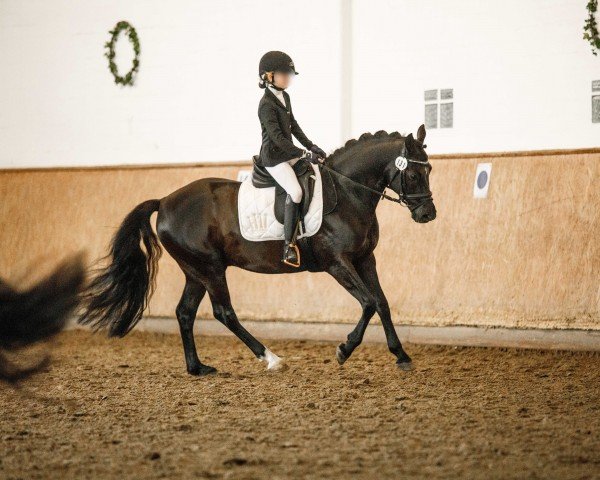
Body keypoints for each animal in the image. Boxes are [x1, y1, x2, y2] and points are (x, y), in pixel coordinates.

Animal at [78, 124, 436, 376]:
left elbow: (382, 303)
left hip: (195, 271)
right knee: (224, 312)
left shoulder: (365, 259)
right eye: (413, 173)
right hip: (210, 269)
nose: (427, 214)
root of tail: (164, 201)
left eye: (429, 170)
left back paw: (198, 368)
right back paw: (271, 359)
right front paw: (344, 349)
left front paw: (402, 356)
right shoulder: (337, 263)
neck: (348, 192)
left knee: (185, 312)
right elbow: (368, 302)